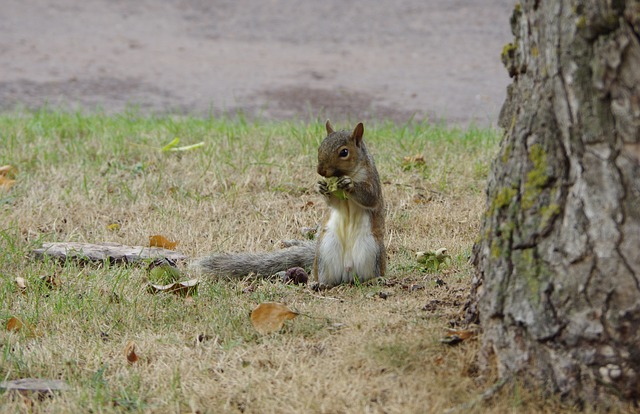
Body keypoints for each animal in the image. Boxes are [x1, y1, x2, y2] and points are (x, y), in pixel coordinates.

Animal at [192, 121, 388, 286]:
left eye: (344, 152)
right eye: (320, 146)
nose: (320, 171)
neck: (349, 173)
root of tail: (348, 273)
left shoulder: (373, 179)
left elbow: (370, 197)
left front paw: (350, 185)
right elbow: (333, 203)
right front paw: (321, 187)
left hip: (372, 251)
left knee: (368, 276)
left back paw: (375, 280)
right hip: (326, 251)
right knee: (329, 279)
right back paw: (319, 284)